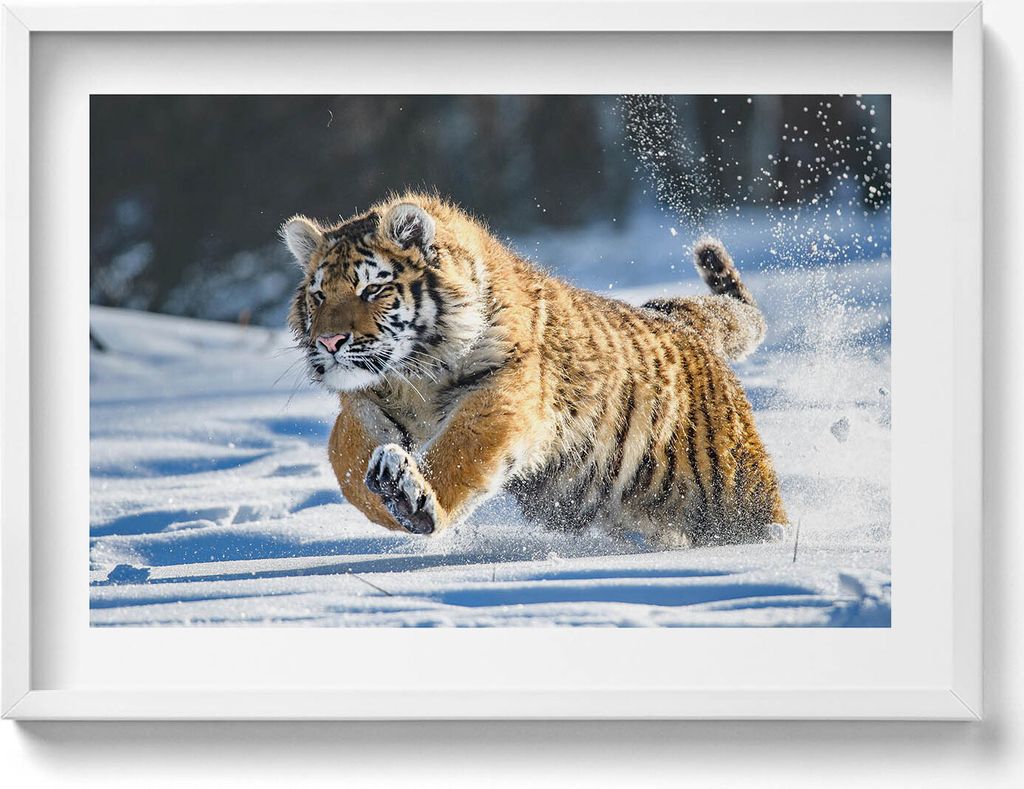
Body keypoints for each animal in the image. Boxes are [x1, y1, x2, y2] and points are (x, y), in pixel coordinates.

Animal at [281, 193, 786, 549]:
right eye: (319, 296)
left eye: (372, 290)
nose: (329, 342)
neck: (415, 374)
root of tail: (681, 322)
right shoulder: (366, 401)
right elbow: (347, 460)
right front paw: (386, 496)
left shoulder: (503, 391)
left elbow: (460, 450)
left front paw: (413, 498)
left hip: (733, 486)